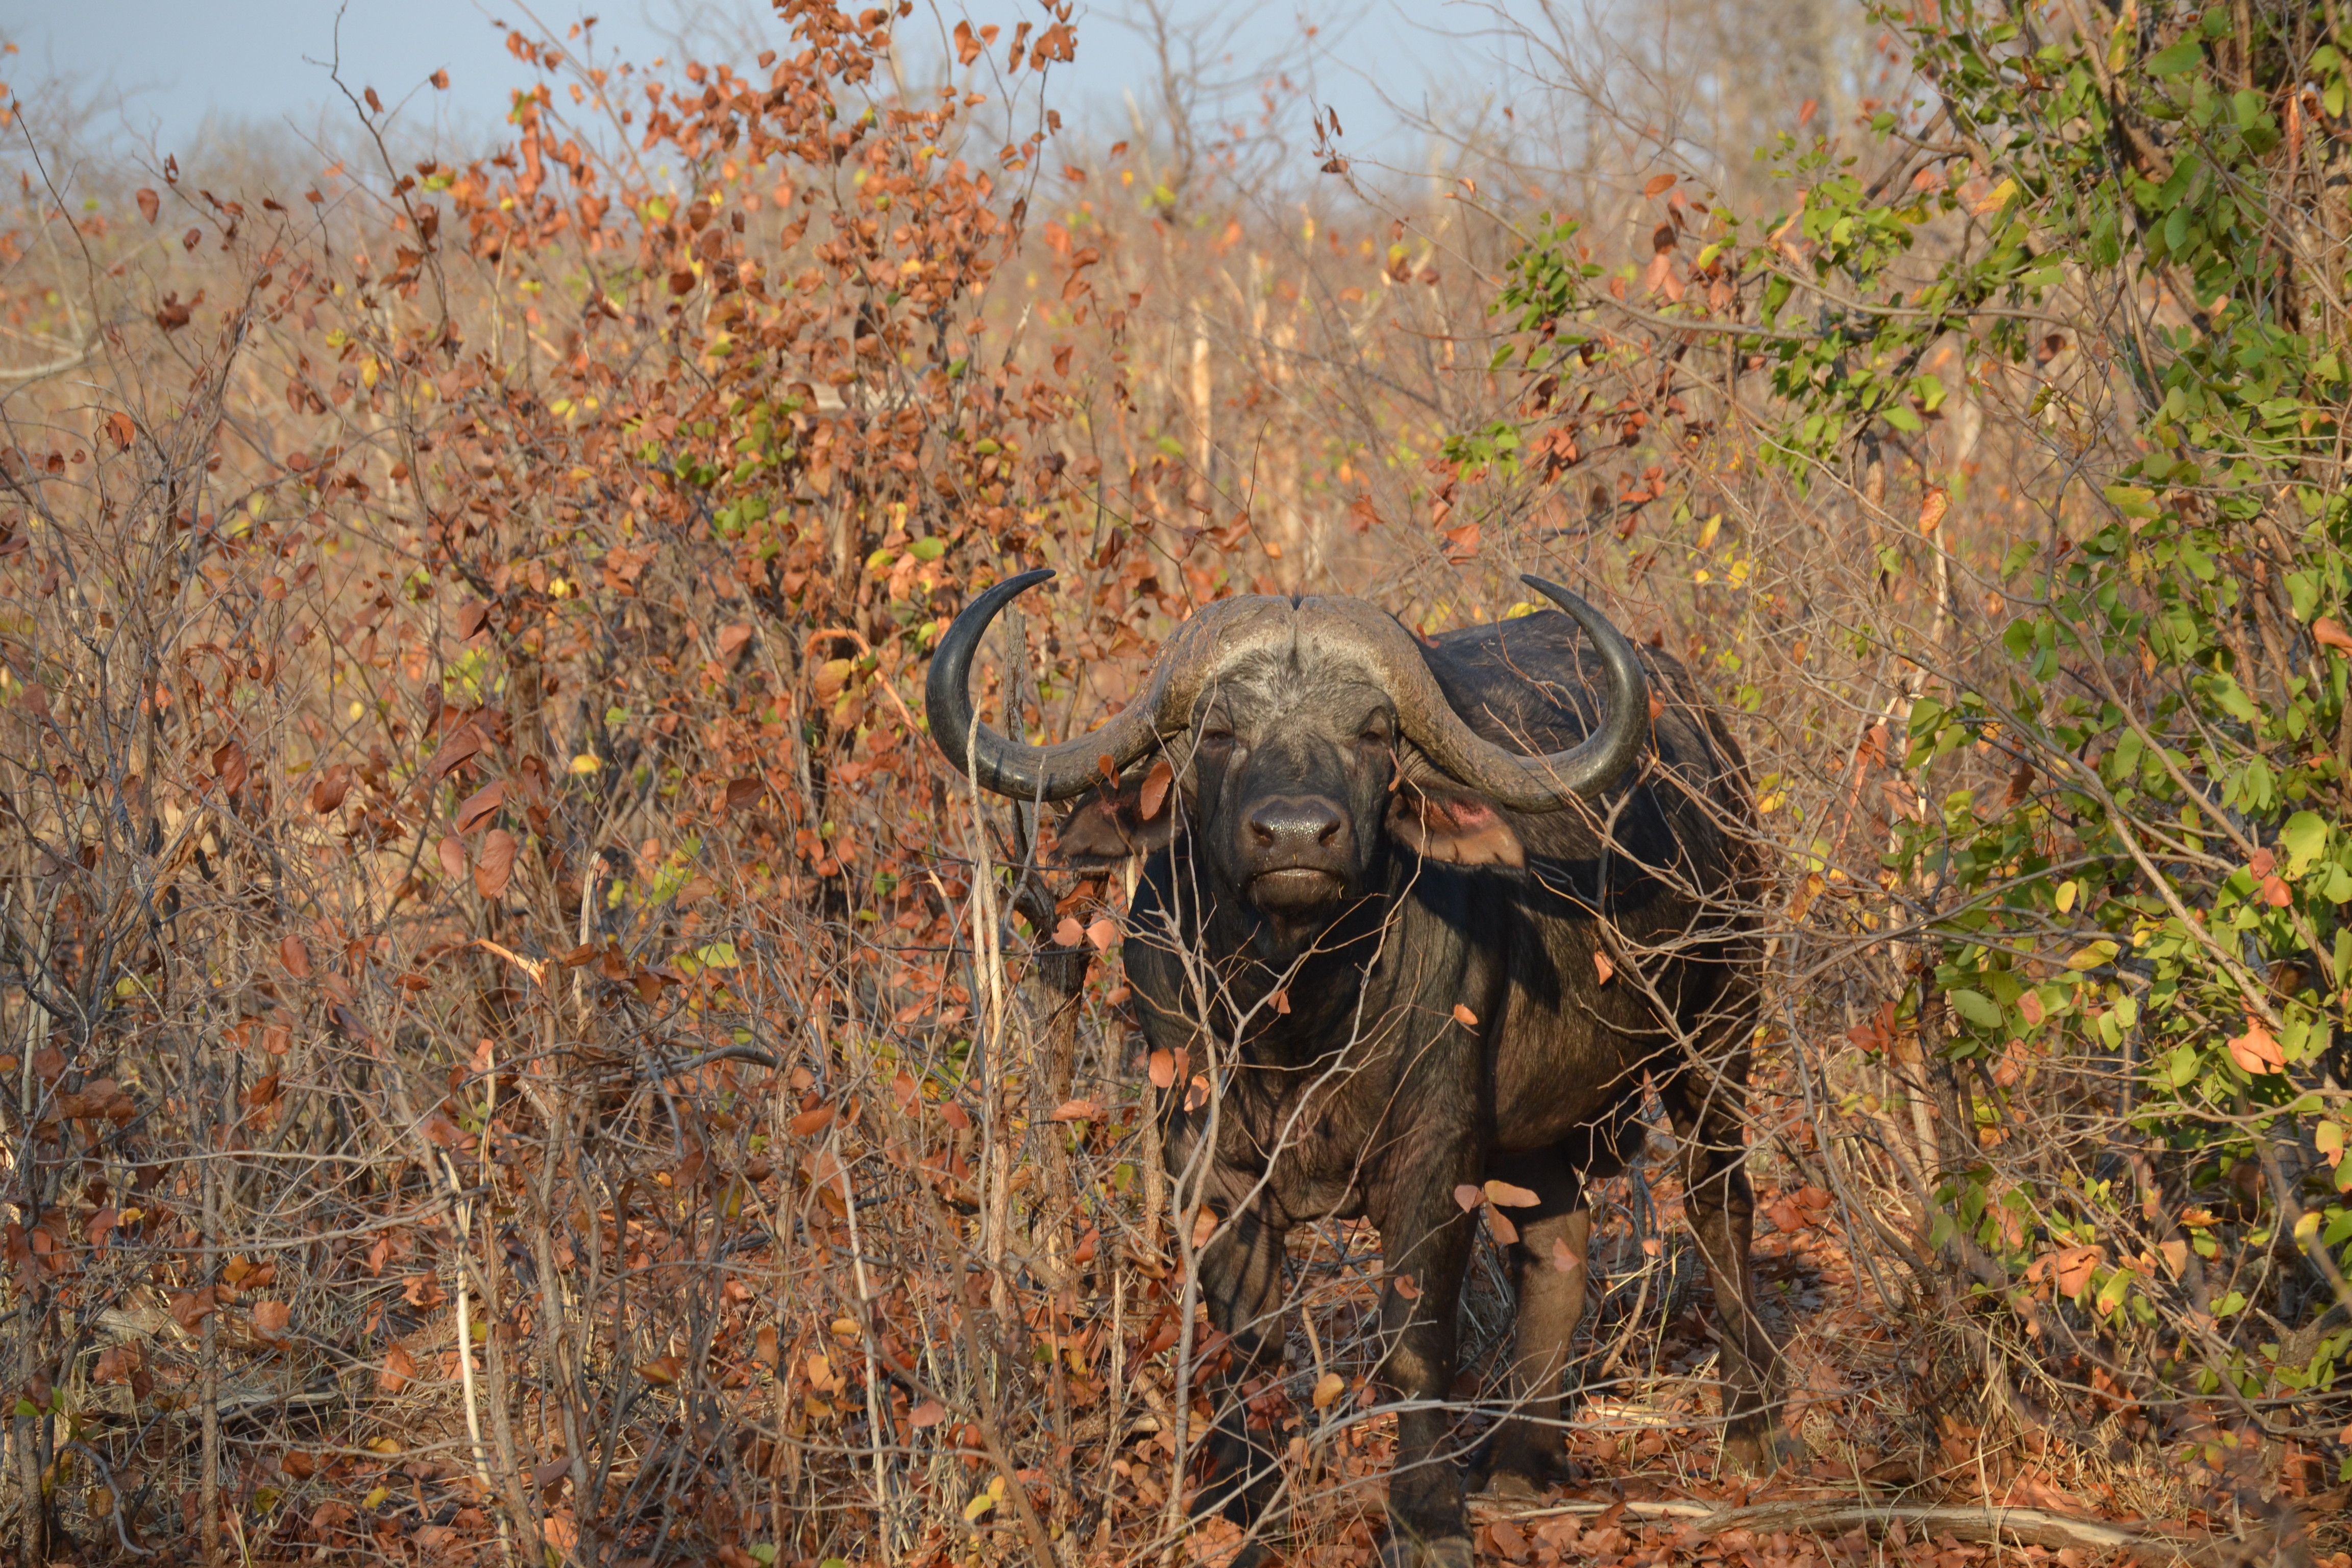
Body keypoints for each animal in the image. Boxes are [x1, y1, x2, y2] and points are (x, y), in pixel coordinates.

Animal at [927, 570, 1786, 1567]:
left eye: (1374, 733)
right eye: (1217, 732)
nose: (1297, 834)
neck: (1297, 1014)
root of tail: (1709, 746)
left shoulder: (1435, 1151)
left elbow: (1414, 1342)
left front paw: (1424, 1518)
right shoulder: (1205, 1159)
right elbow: (1247, 1341)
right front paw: (1243, 1507)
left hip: (1719, 1027)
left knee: (1718, 1202)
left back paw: (1752, 1426)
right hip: (1543, 1123)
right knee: (1558, 1250)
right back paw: (1517, 1462)